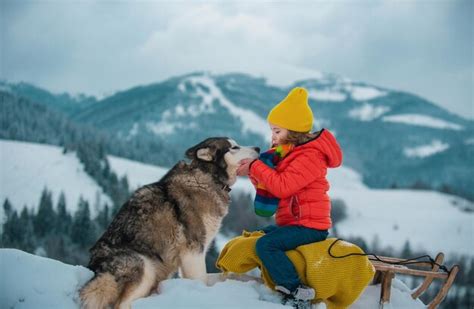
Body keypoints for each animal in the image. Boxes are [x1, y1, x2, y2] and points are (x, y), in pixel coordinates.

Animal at [80, 138, 260, 308]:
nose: (258, 148)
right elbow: (200, 280)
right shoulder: (193, 250)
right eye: (234, 147)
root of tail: (95, 268)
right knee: (122, 304)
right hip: (146, 267)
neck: (208, 177)